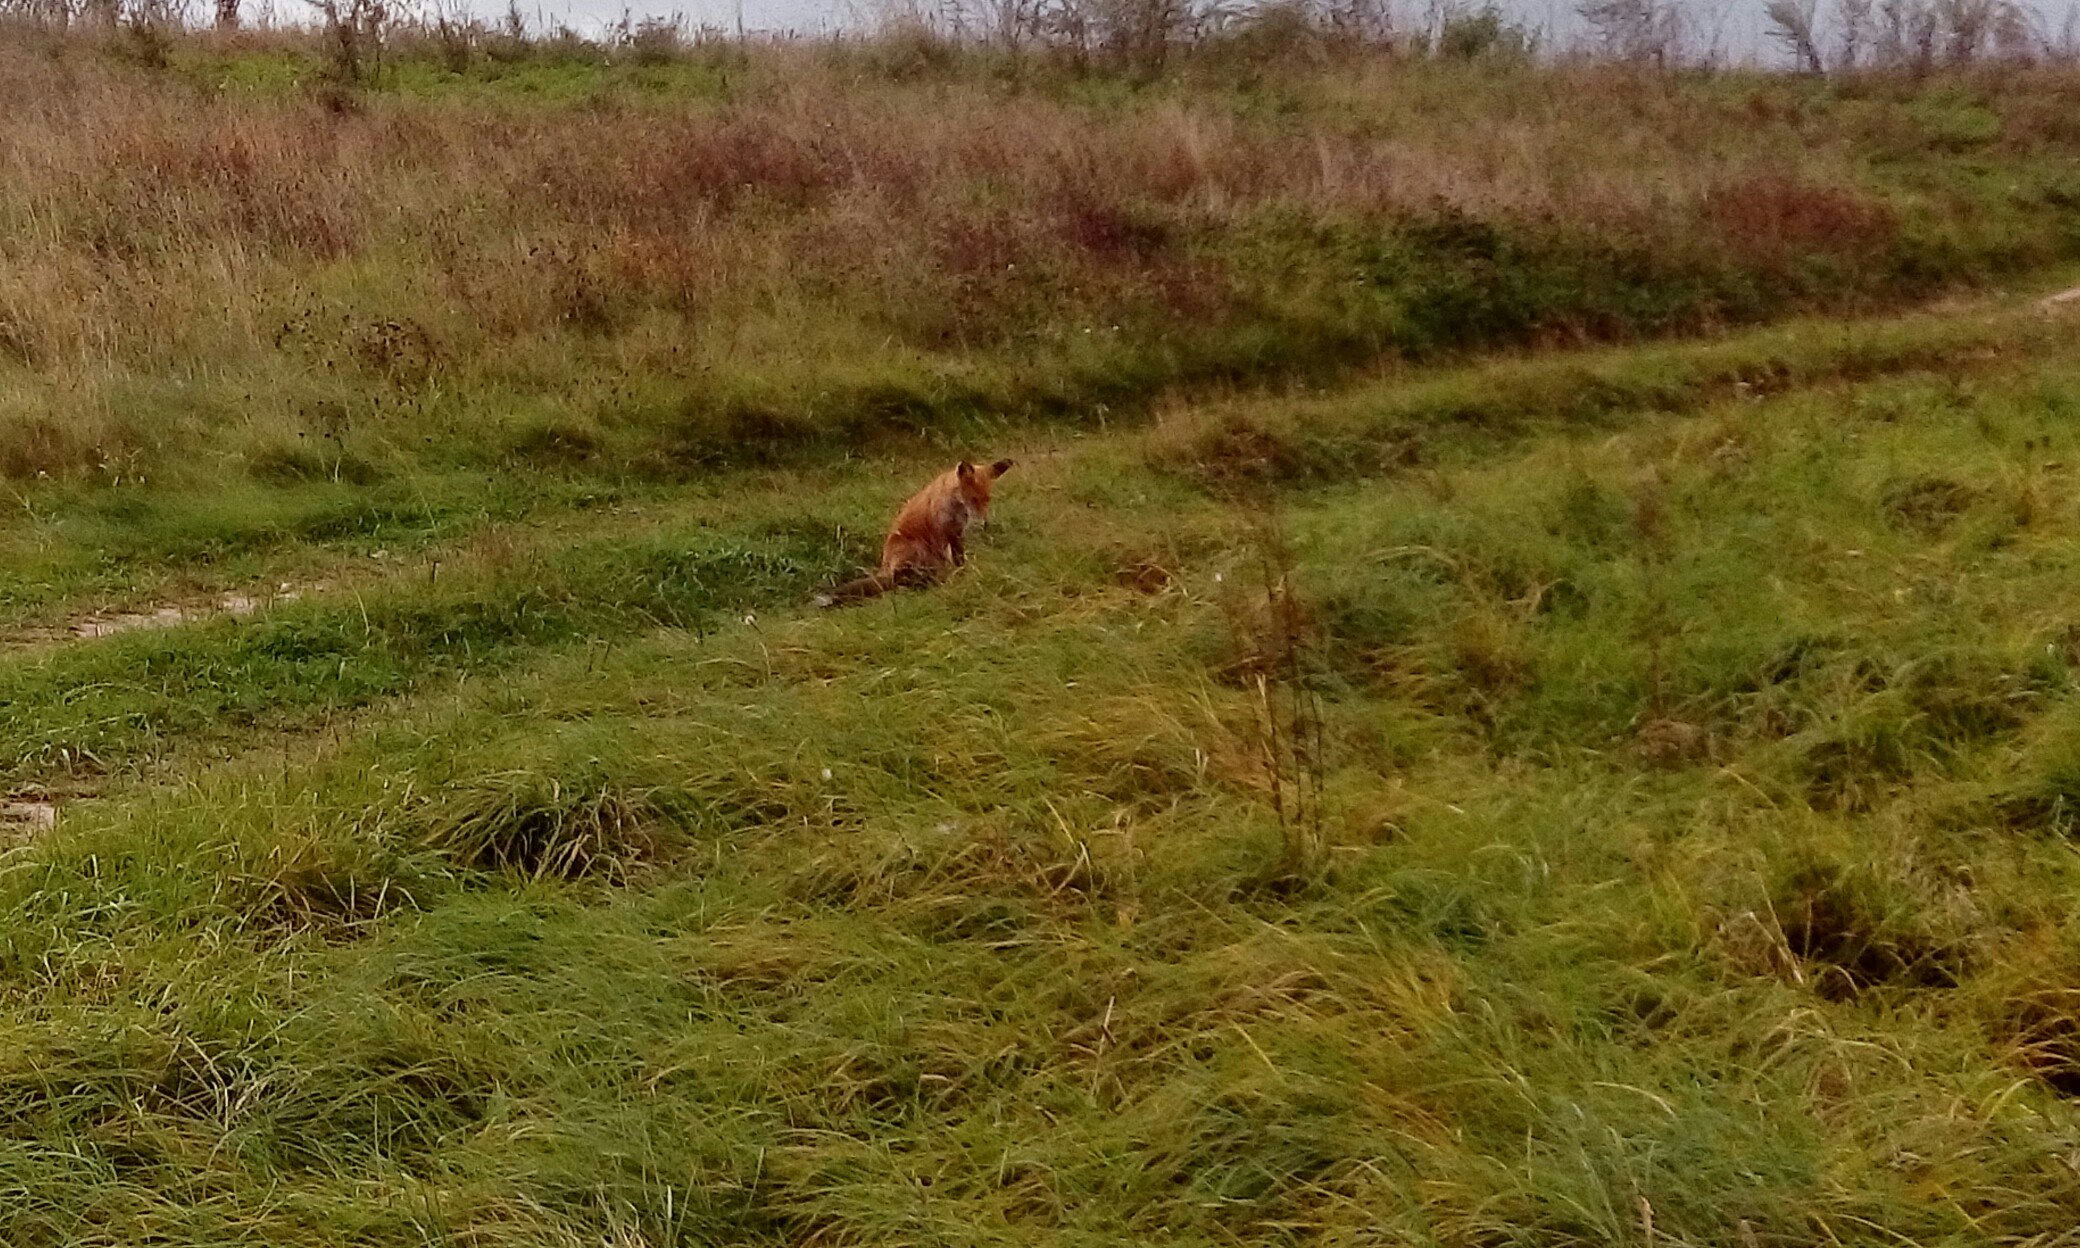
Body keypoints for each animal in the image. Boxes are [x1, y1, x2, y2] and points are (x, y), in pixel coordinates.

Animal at [811, 459, 1015, 611]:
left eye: (987, 499)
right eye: (973, 499)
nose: (985, 524)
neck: (955, 506)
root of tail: (885, 568)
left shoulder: (956, 534)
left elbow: (959, 560)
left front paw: (961, 574)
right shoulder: (941, 532)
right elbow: (947, 562)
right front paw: (950, 579)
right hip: (914, 548)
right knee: (900, 580)